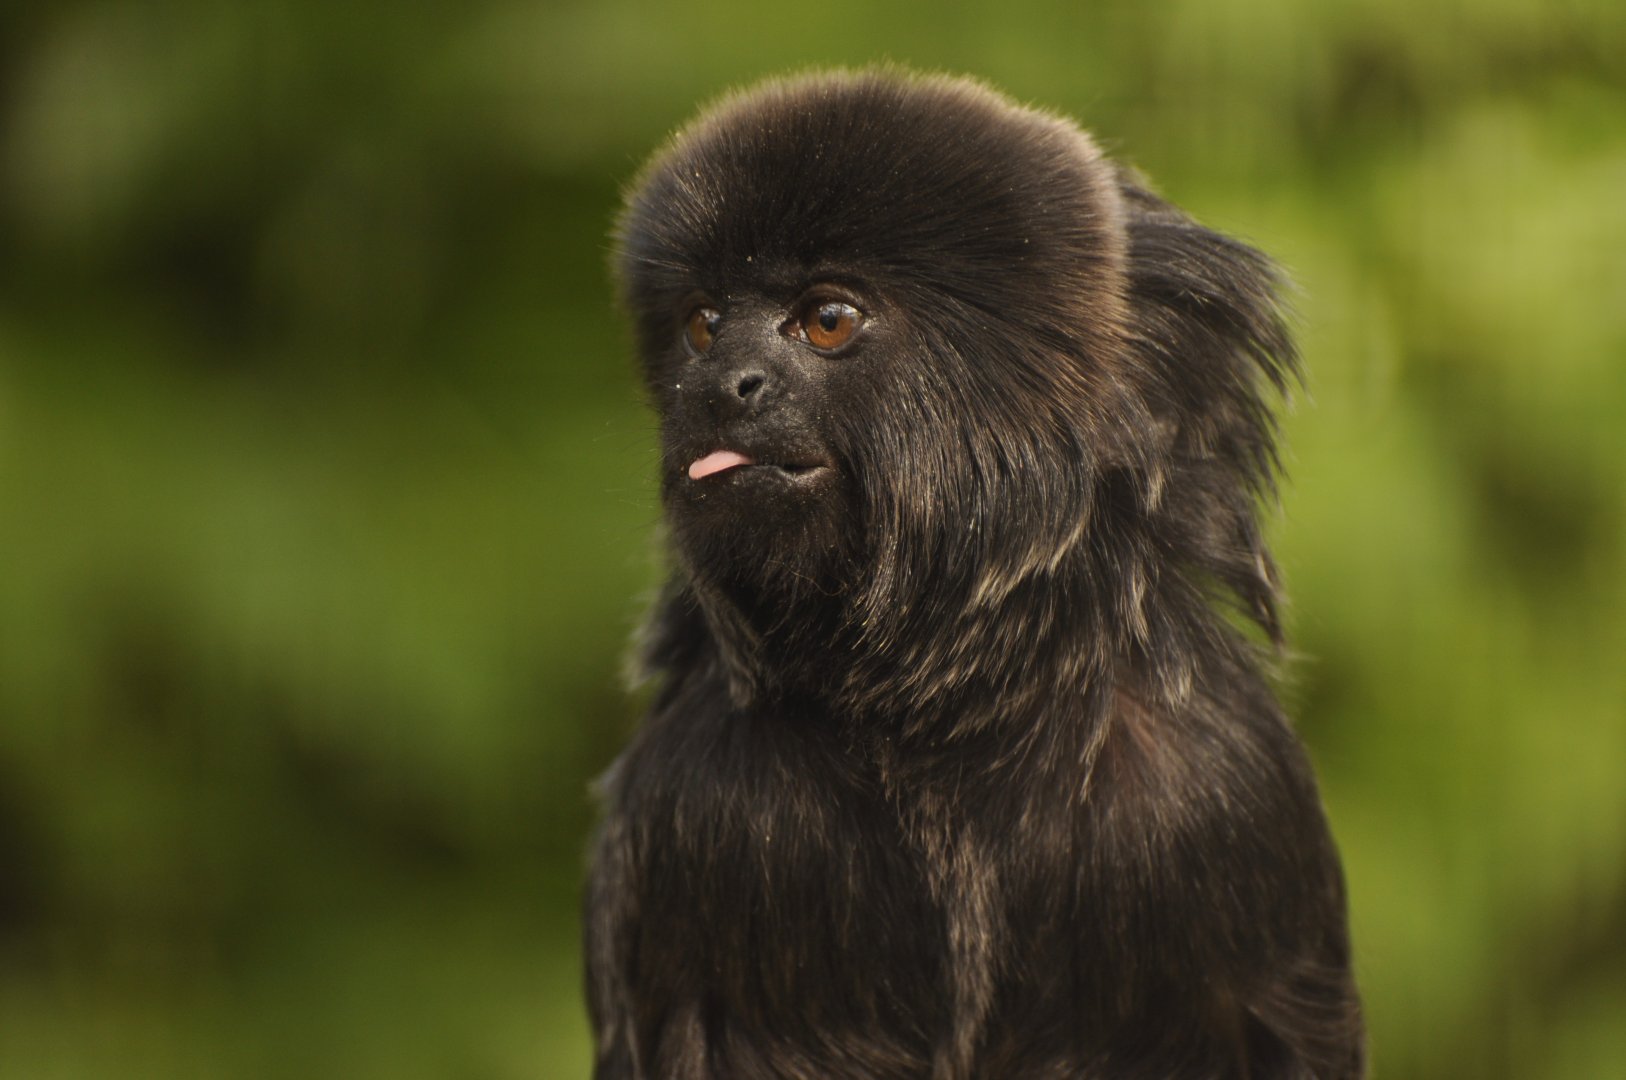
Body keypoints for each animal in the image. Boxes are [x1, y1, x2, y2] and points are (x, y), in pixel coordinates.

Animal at [587, 69, 1363, 1079]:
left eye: (826, 321)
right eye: (703, 326)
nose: (723, 384)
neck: (944, 715)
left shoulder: (1224, 794)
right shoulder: (695, 804)